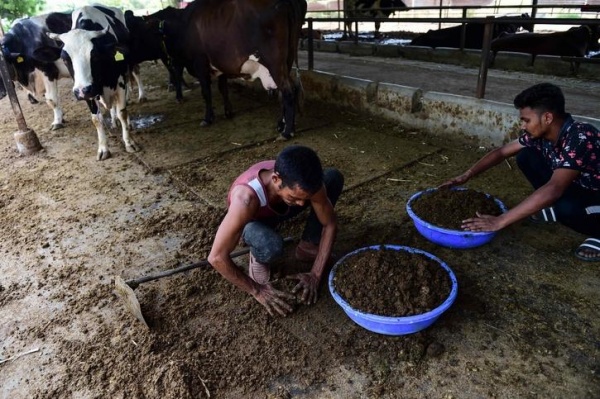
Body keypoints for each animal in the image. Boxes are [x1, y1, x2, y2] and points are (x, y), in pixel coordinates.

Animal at [41, 5, 142, 160]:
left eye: (94, 56)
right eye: (64, 59)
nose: (82, 91)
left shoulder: (119, 84)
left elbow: (123, 113)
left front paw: (129, 143)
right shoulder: (89, 92)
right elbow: (96, 119)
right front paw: (103, 149)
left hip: (127, 69)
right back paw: (113, 121)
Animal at [163, 0, 308, 141]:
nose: (169, 59)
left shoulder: (200, 63)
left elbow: (206, 93)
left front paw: (207, 118)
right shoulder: (220, 66)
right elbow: (223, 89)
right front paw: (228, 112)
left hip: (275, 62)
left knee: (288, 90)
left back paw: (287, 132)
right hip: (287, 60)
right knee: (286, 91)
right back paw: (282, 125)